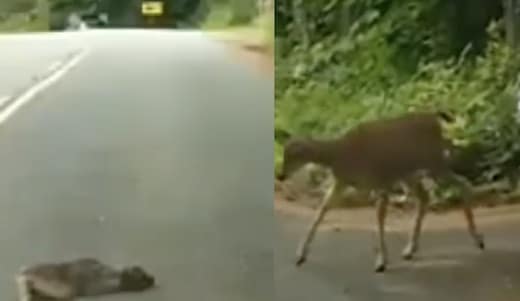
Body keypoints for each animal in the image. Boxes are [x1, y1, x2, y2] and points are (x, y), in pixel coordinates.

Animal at [278, 110, 486, 272]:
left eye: (291, 156)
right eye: (284, 154)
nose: (280, 175)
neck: (339, 154)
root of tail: (435, 120)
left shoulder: (379, 182)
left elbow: (379, 218)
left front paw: (381, 262)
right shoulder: (342, 182)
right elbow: (321, 211)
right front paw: (300, 255)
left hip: (434, 162)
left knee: (463, 183)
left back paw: (478, 240)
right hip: (410, 172)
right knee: (425, 197)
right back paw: (410, 250)